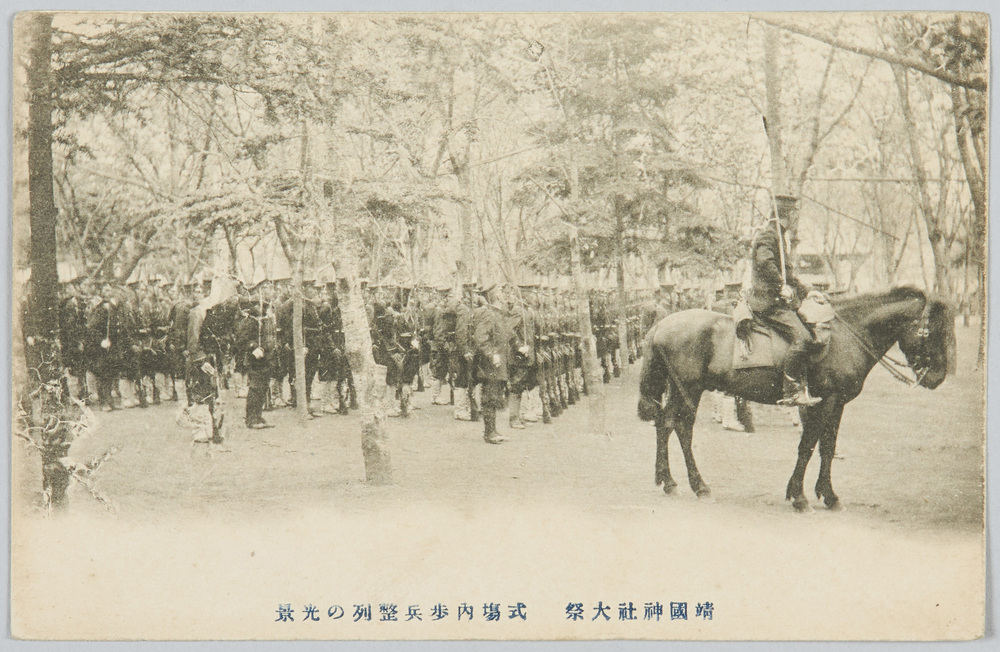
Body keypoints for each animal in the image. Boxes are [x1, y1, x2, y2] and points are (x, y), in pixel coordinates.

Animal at [636, 288, 956, 512]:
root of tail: (660, 325)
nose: (937, 377)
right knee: (681, 428)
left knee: (665, 425)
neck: (845, 337)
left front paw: (827, 495)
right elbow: (808, 446)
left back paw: (668, 481)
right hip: (689, 389)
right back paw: (698, 485)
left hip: (679, 389)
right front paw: (800, 496)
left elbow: (827, 448)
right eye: (932, 331)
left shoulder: (837, 405)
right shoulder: (824, 402)